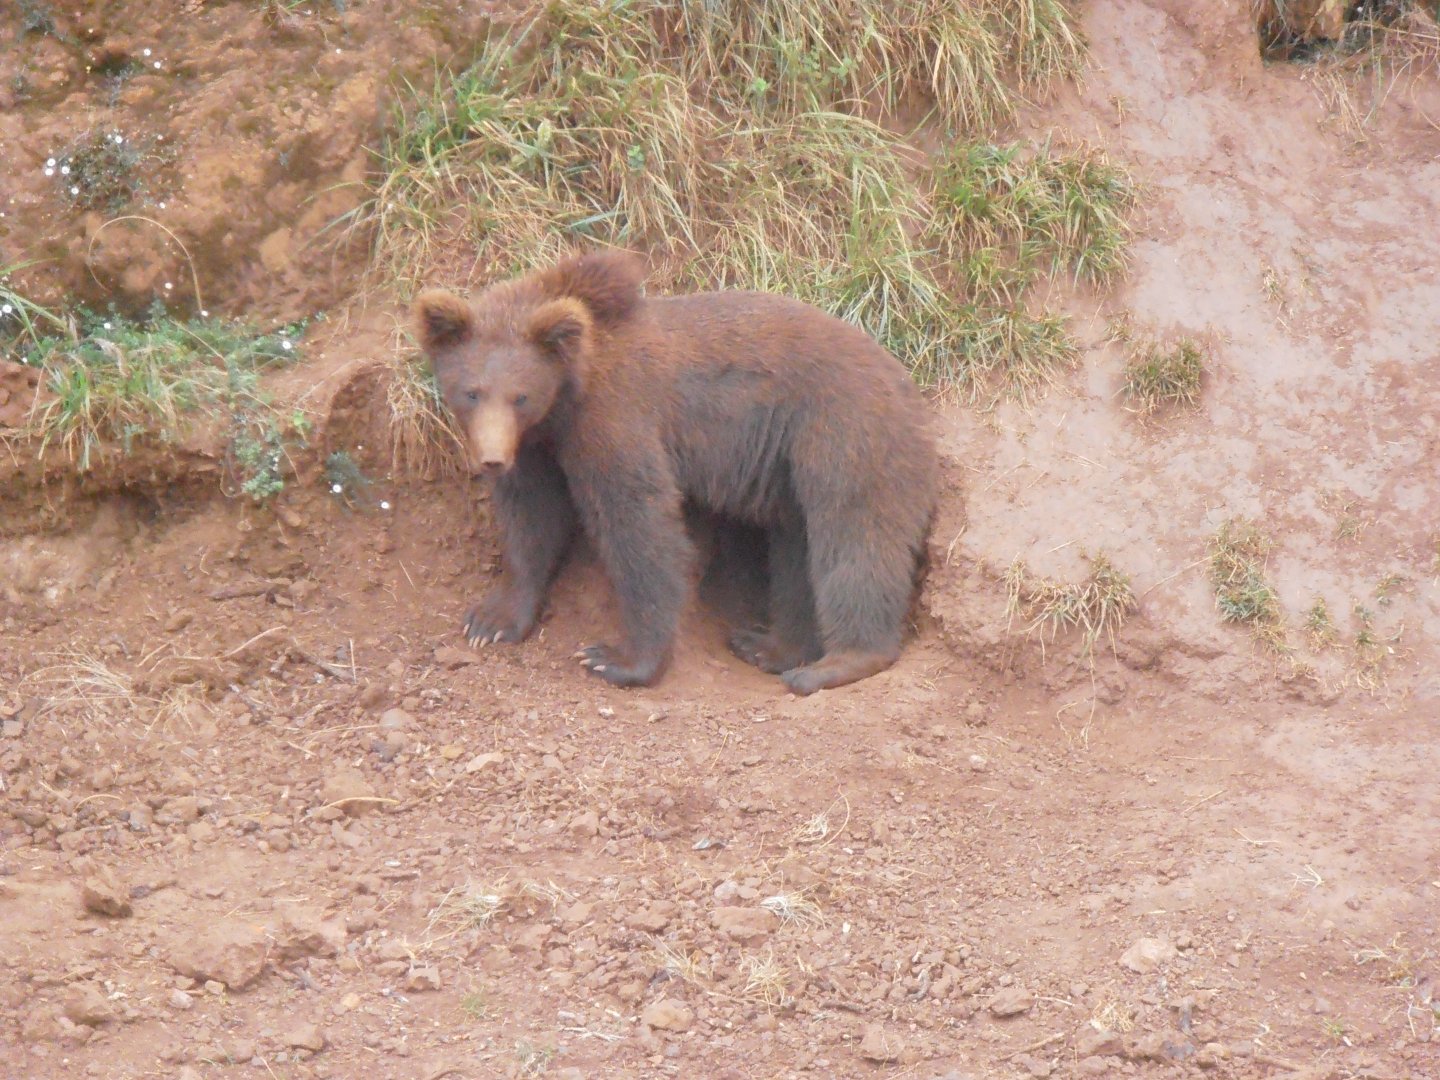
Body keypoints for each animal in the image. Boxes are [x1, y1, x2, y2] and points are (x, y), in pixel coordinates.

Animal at [412, 249, 937, 695]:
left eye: (519, 395)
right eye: (471, 391)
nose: (492, 458)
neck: (568, 395)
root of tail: (910, 383)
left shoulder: (615, 420)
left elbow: (639, 526)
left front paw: (616, 657)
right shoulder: (539, 448)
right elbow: (531, 518)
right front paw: (491, 621)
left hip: (844, 432)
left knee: (856, 536)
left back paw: (837, 662)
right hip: (791, 474)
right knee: (796, 552)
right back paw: (767, 645)